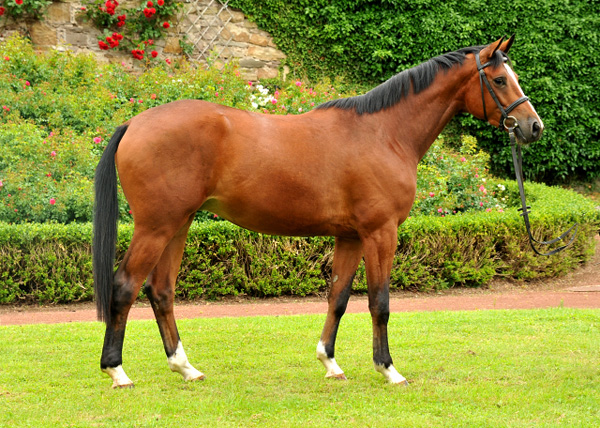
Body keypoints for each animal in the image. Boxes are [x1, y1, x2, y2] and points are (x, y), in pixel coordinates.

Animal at [94, 36, 544, 388]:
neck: (384, 133)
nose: (533, 126)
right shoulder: (381, 233)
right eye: (500, 80)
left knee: (161, 291)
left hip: (179, 225)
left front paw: (330, 362)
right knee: (125, 286)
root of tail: (135, 123)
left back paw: (185, 367)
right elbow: (379, 302)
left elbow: (339, 298)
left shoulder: (351, 236)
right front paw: (389, 369)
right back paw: (118, 371)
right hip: (156, 226)